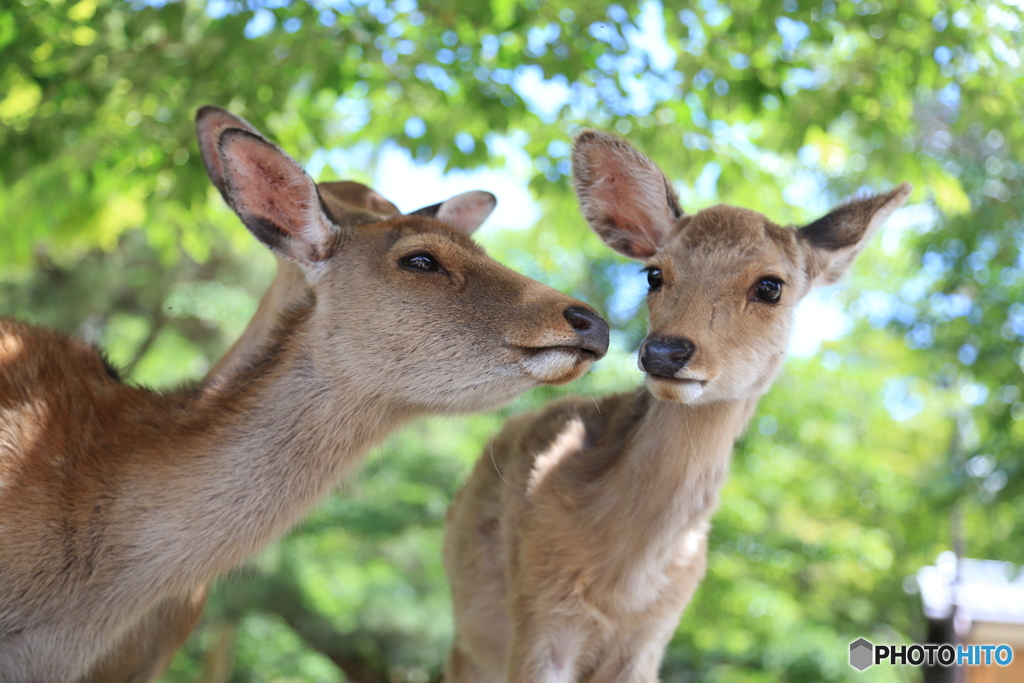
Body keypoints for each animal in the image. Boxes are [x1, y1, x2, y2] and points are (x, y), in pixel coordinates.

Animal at [444, 129, 909, 683]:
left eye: (770, 285)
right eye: (654, 274)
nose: (664, 351)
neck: (625, 583)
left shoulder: (655, 635)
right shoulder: (538, 611)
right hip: (469, 640)